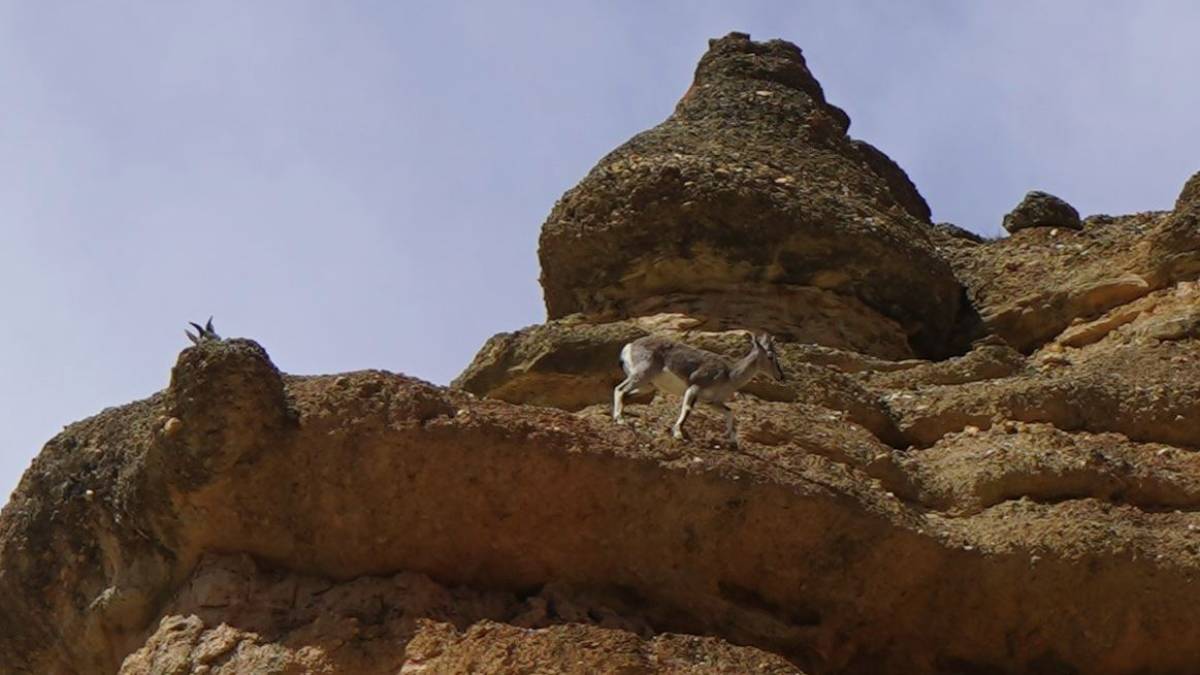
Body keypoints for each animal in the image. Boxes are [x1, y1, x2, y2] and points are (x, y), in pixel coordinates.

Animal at [614, 331, 782, 446]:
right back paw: (619, 419)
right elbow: (687, 409)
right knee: (619, 389)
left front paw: (733, 441)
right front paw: (678, 434)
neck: (729, 374)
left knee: (626, 394)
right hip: (641, 376)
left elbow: (729, 412)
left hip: (647, 386)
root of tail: (629, 347)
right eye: (770, 356)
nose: (781, 376)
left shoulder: (711, 402)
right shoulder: (694, 388)